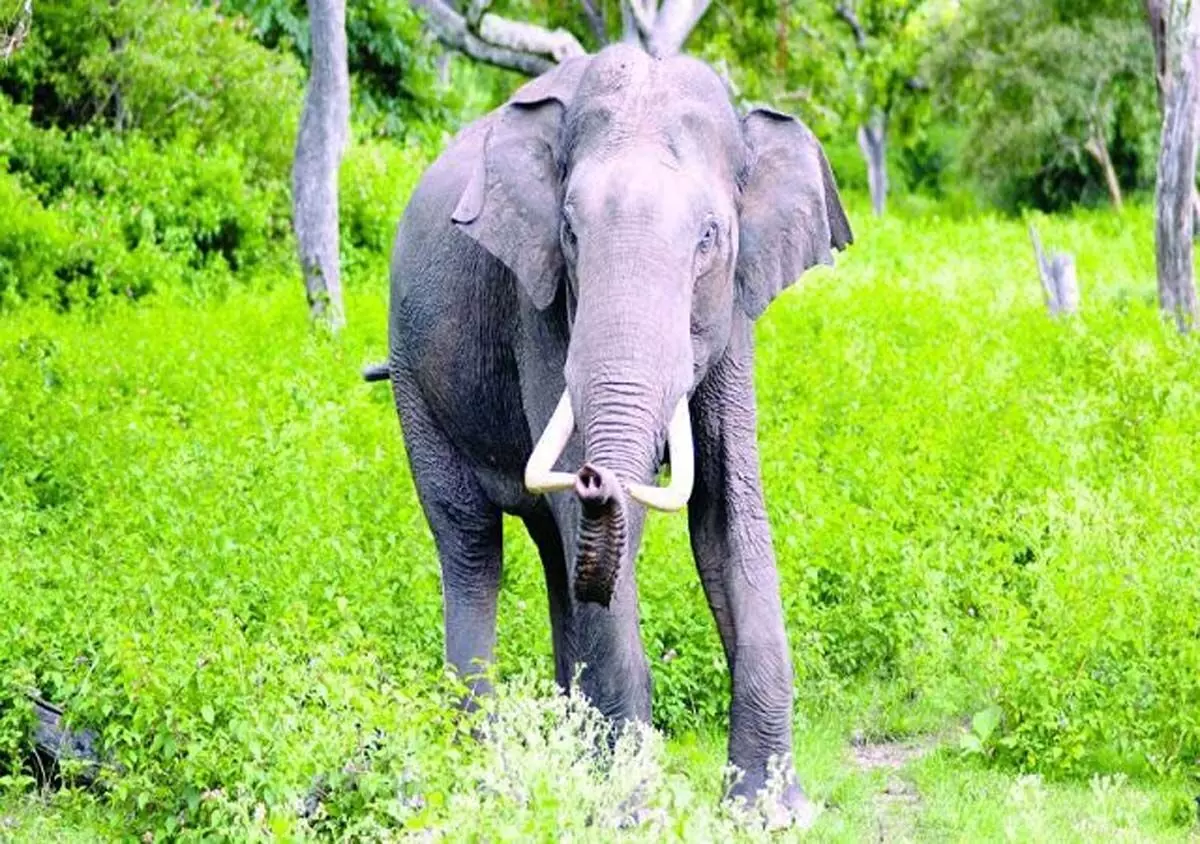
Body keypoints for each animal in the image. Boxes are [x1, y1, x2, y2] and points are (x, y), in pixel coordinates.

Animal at [369, 42, 849, 821]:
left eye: (710, 238)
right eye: (569, 232)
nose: (598, 476)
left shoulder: (734, 309)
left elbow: (728, 512)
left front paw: (771, 813)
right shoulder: (536, 302)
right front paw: (630, 812)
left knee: (554, 556)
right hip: (414, 376)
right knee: (472, 545)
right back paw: (483, 773)